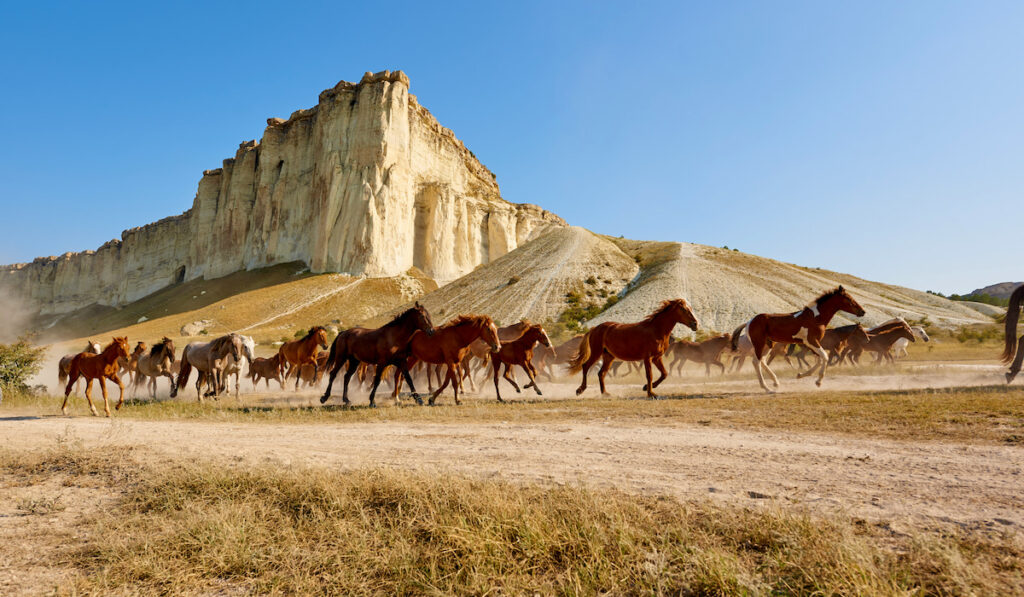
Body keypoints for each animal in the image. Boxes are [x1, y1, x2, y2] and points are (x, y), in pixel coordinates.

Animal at [565, 296, 700, 397]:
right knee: (586, 366)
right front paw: (651, 393)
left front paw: (646, 388)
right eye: (684, 310)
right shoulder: (647, 358)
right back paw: (580, 390)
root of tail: (595, 328)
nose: (695, 324)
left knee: (601, 373)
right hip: (596, 353)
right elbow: (649, 375)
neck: (656, 330)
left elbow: (664, 374)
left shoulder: (657, 358)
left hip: (609, 356)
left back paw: (605, 393)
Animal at [729, 286, 864, 395]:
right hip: (759, 343)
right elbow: (824, 357)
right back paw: (767, 388)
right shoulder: (811, 341)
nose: (862, 311)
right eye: (848, 298)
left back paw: (776, 382)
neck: (816, 317)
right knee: (756, 362)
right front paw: (818, 382)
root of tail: (749, 322)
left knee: (762, 361)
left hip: (768, 344)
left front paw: (801, 375)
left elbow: (819, 359)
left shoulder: (811, 344)